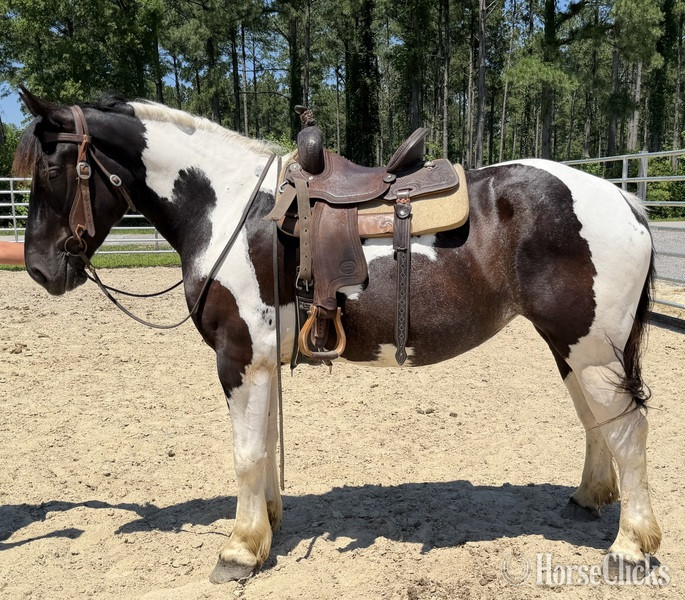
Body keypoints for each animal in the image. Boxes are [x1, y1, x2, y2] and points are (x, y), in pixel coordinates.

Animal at [13, 87, 660, 583]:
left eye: (51, 169)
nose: (40, 269)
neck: (230, 211)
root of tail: (625, 201)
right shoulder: (262, 364)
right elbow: (266, 446)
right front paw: (267, 526)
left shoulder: (238, 357)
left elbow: (247, 454)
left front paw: (239, 551)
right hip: (572, 347)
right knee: (597, 421)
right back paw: (588, 498)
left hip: (590, 348)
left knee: (627, 431)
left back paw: (630, 547)